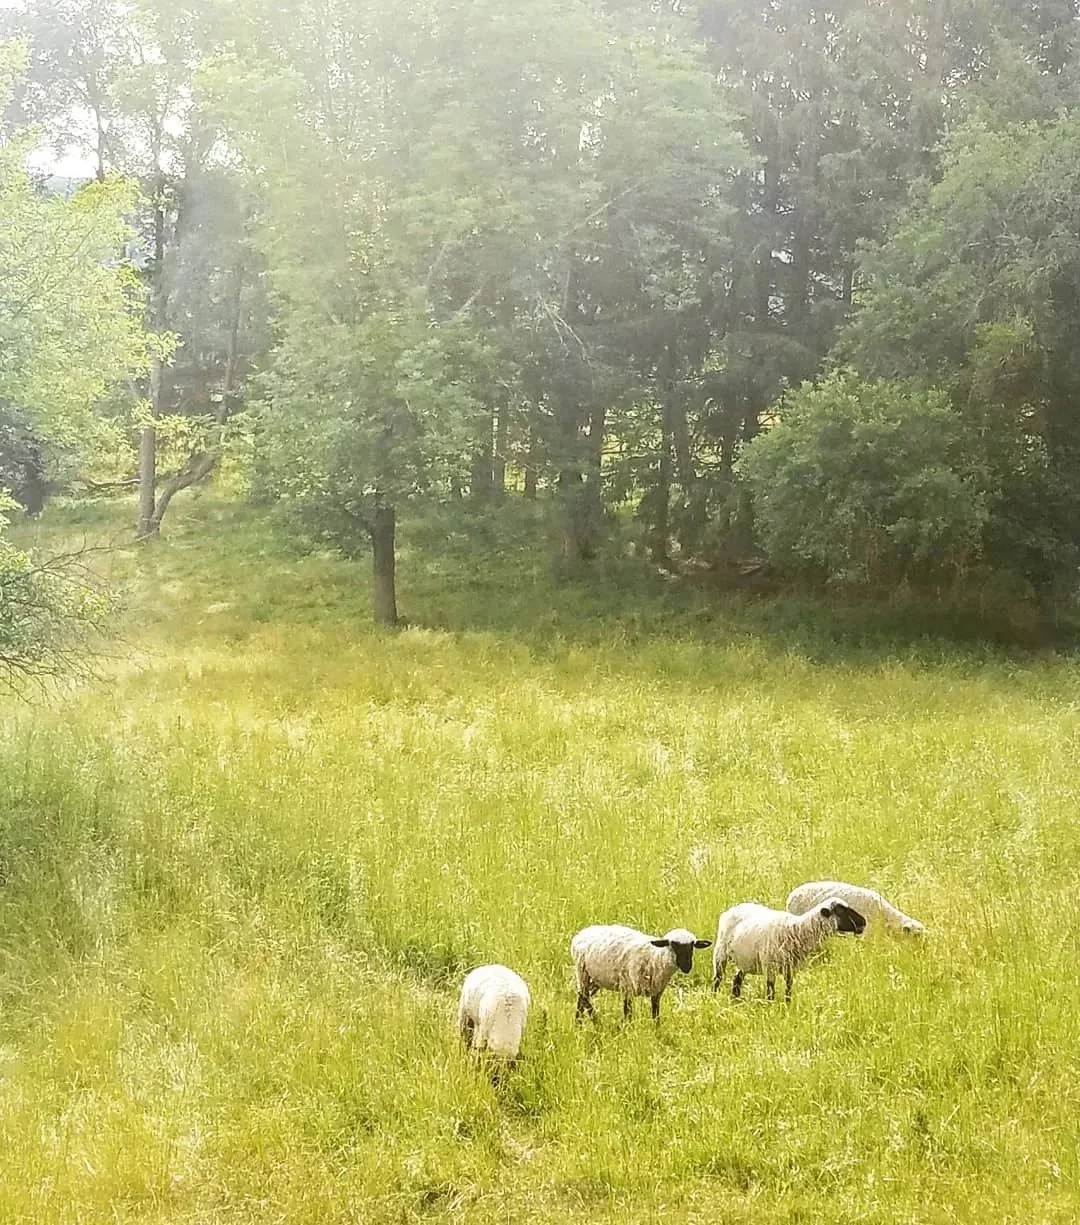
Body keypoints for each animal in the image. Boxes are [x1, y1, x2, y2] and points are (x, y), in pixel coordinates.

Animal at [568, 921, 710, 1019]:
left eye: (692, 945)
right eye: (673, 945)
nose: (687, 967)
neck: (655, 957)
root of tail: (581, 933)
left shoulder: (656, 991)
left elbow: (655, 1015)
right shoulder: (627, 988)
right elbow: (628, 1014)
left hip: (596, 979)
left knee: (582, 998)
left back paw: (580, 1024)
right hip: (582, 972)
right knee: (584, 996)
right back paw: (594, 1021)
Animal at [710, 896, 862, 999]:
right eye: (841, 910)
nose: (863, 922)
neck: (796, 929)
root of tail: (734, 908)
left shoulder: (790, 968)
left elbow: (789, 989)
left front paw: (787, 1007)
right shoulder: (770, 967)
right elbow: (770, 992)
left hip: (744, 959)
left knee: (737, 980)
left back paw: (735, 1001)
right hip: (720, 953)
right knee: (717, 979)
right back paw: (714, 998)